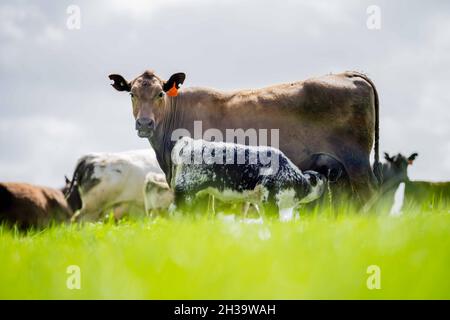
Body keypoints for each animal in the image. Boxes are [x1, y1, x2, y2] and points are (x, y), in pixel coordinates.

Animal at [109, 70, 380, 202]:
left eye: (160, 94)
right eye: (132, 94)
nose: (144, 123)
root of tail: (346, 74)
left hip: (356, 163)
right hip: (338, 172)